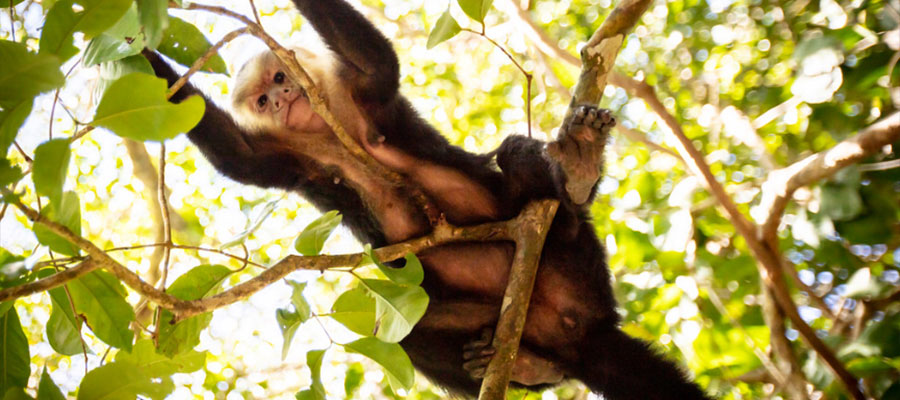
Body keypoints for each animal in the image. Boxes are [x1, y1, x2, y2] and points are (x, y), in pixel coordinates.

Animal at [143, 0, 711, 398]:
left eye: (282, 78)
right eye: (262, 99)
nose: (282, 100)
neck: (327, 131)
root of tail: (585, 332)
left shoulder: (356, 91)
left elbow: (379, 63)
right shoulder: (287, 155)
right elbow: (236, 157)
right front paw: (143, 55)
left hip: (582, 273)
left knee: (522, 165)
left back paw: (575, 171)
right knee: (400, 333)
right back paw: (534, 368)